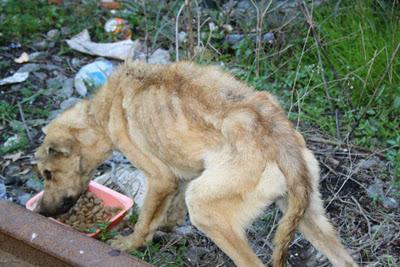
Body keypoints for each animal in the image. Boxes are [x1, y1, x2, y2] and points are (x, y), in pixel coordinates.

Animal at [34, 61, 358, 267]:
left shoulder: (160, 177)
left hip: (205, 209)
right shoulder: (183, 173)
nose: (40, 212)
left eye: (48, 174)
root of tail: (280, 139)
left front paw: (130, 244)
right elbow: (169, 210)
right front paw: (168, 225)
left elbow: (144, 221)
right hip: (308, 217)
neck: (106, 107)